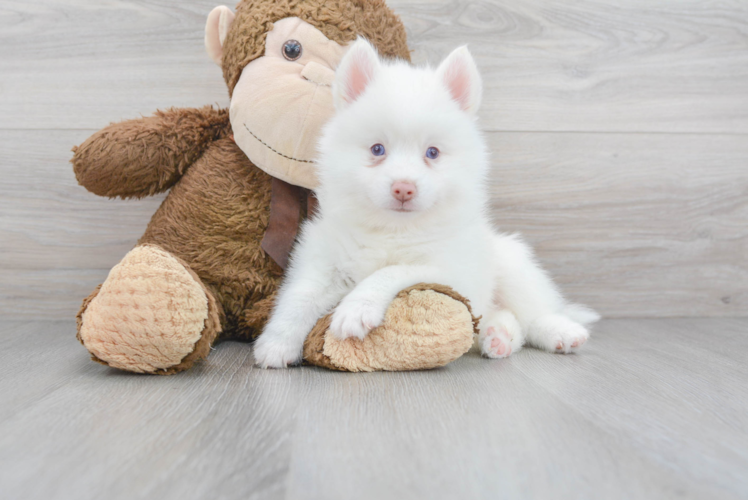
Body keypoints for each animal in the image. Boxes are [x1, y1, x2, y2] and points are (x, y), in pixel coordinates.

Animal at [254, 39, 600, 368]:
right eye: (377, 149)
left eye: (432, 153)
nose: (403, 189)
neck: (392, 229)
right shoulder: (323, 260)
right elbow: (299, 297)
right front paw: (276, 343)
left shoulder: (449, 269)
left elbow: (391, 271)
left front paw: (356, 307)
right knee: (504, 319)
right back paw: (498, 337)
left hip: (512, 266)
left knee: (533, 313)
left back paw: (560, 332)